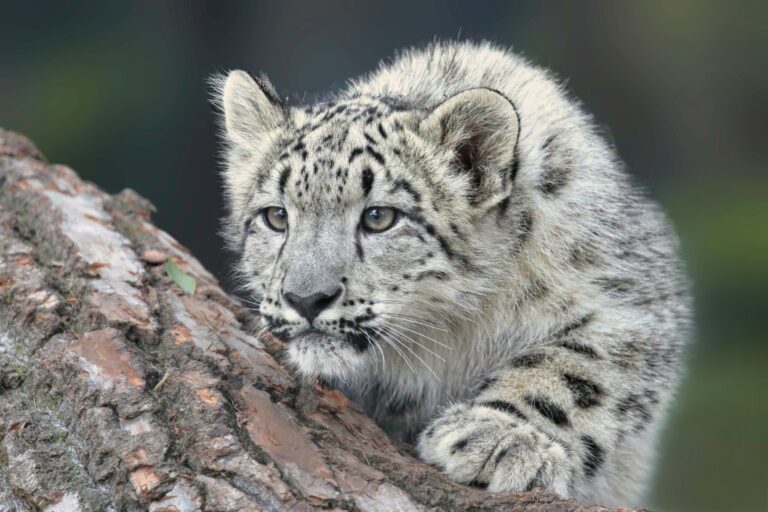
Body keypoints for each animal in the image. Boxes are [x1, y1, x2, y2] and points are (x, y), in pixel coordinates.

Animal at [212, 40, 691, 507]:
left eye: (379, 217)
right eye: (276, 216)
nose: (306, 299)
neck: (451, 331)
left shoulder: (631, 300)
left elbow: (575, 367)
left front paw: (500, 438)